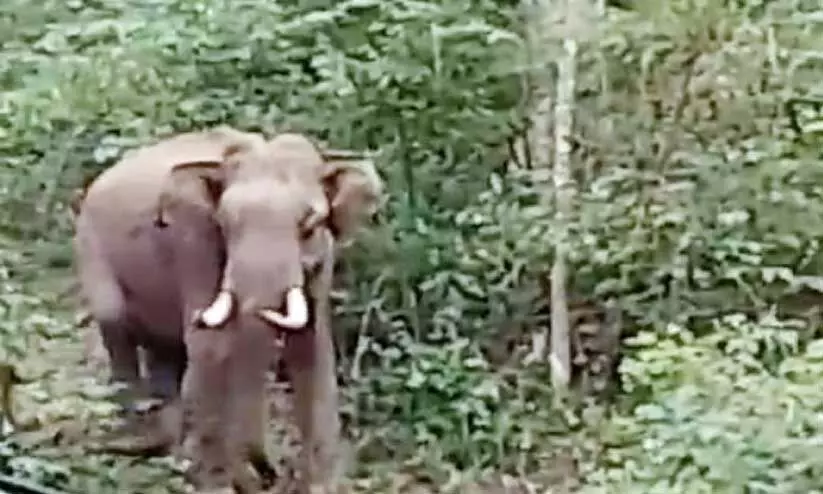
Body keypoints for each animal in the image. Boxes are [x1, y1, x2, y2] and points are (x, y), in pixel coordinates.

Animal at [73, 126, 383, 493]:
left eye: (309, 225)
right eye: (225, 223)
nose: (267, 471)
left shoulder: (324, 259)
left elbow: (313, 350)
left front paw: (319, 485)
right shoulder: (193, 240)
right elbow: (213, 345)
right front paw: (217, 484)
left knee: (166, 351)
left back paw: (169, 449)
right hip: (90, 248)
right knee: (117, 327)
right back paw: (137, 444)